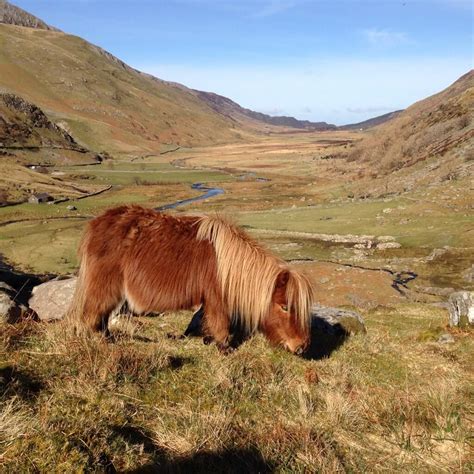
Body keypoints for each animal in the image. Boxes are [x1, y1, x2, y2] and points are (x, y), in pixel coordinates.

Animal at [65, 206, 312, 354]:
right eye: (285, 306)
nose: (301, 347)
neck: (226, 264)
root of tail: (96, 224)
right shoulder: (216, 299)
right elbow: (220, 324)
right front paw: (224, 349)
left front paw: (207, 340)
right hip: (105, 287)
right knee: (92, 316)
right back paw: (102, 342)